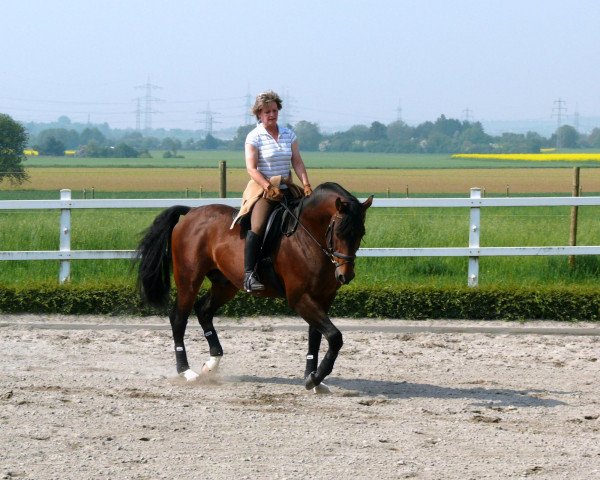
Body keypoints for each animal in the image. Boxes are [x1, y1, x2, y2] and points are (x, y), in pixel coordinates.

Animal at [137, 183, 370, 390]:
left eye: (361, 234)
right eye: (339, 232)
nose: (345, 275)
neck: (308, 236)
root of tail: (191, 212)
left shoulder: (323, 297)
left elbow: (317, 335)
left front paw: (312, 378)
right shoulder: (300, 298)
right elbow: (334, 337)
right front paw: (315, 377)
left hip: (225, 284)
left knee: (203, 310)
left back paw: (212, 363)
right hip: (189, 280)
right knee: (179, 318)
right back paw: (186, 371)